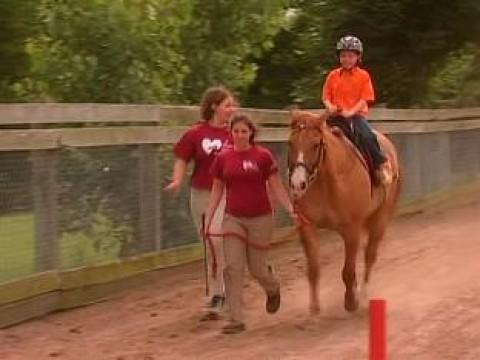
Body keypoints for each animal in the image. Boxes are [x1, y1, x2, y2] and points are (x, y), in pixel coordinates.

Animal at [288, 110, 402, 316]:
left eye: (315, 144)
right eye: (290, 143)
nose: (297, 184)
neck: (328, 182)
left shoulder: (352, 229)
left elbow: (347, 271)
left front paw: (351, 301)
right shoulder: (306, 225)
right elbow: (314, 269)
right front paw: (314, 308)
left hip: (380, 219)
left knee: (370, 255)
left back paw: (363, 294)